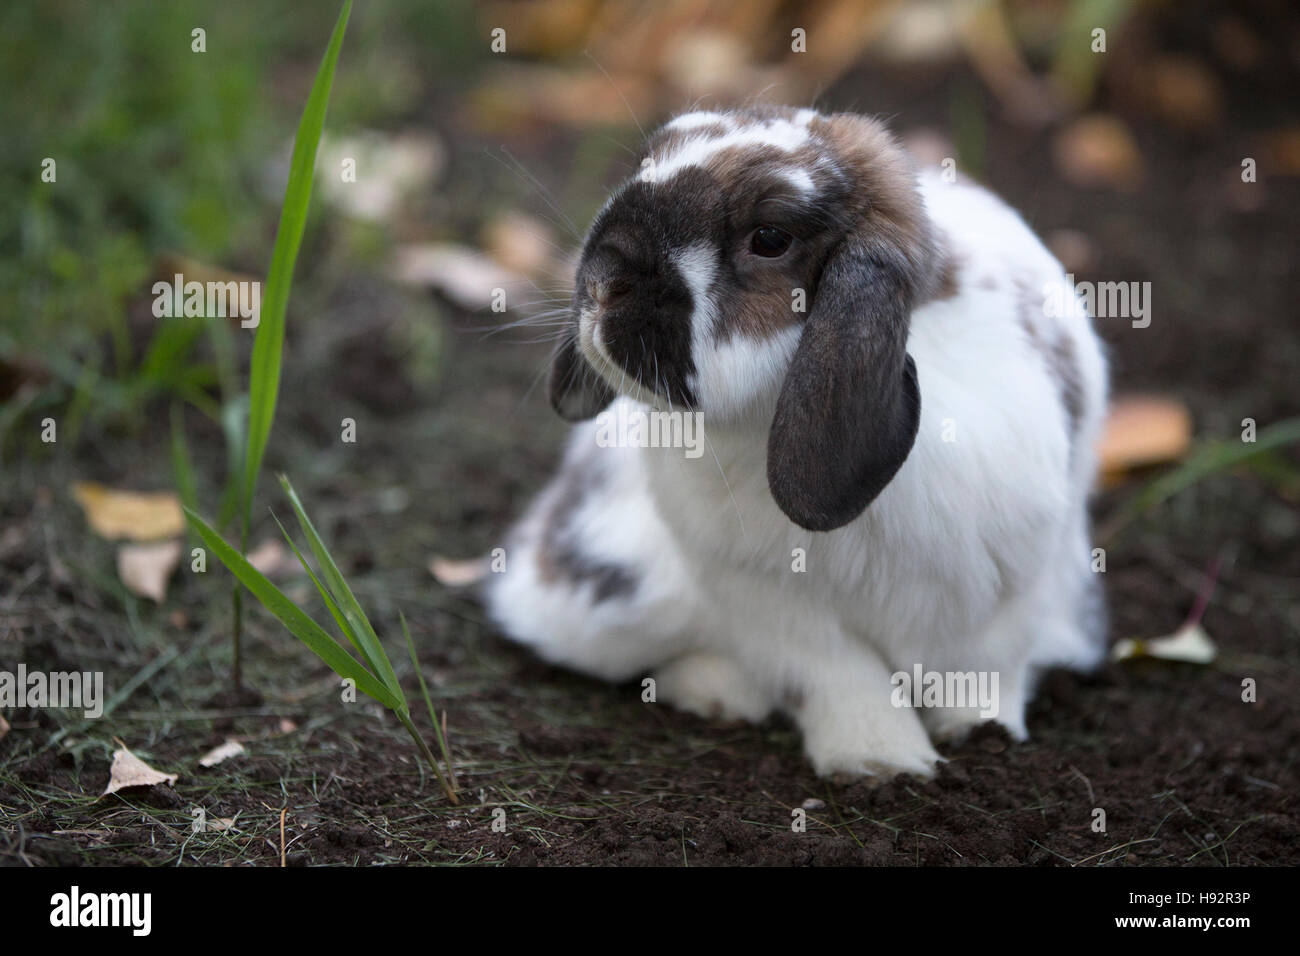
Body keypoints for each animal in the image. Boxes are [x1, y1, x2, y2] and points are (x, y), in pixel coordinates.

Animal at [484, 106, 1108, 779]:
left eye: (770, 237)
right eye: (649, 160)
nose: (601, 281)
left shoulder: (1009, 593)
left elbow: (987, 671)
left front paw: (982, 734)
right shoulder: (775, 605)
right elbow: (841, 678)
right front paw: (881, 762)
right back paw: (715, 692)